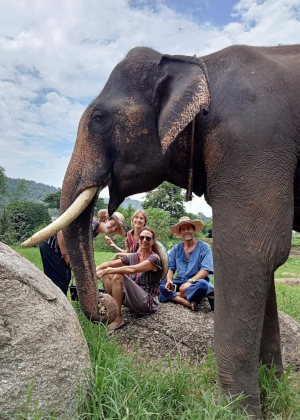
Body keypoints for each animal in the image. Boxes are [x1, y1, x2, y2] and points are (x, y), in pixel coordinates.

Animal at [22, 42, 300, 416]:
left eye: (99, 119)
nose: (100, 311)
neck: (197, 63)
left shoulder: (252, 141)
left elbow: (252, 252)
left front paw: (236, 413)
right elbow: (263, 263)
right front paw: (272, 389)